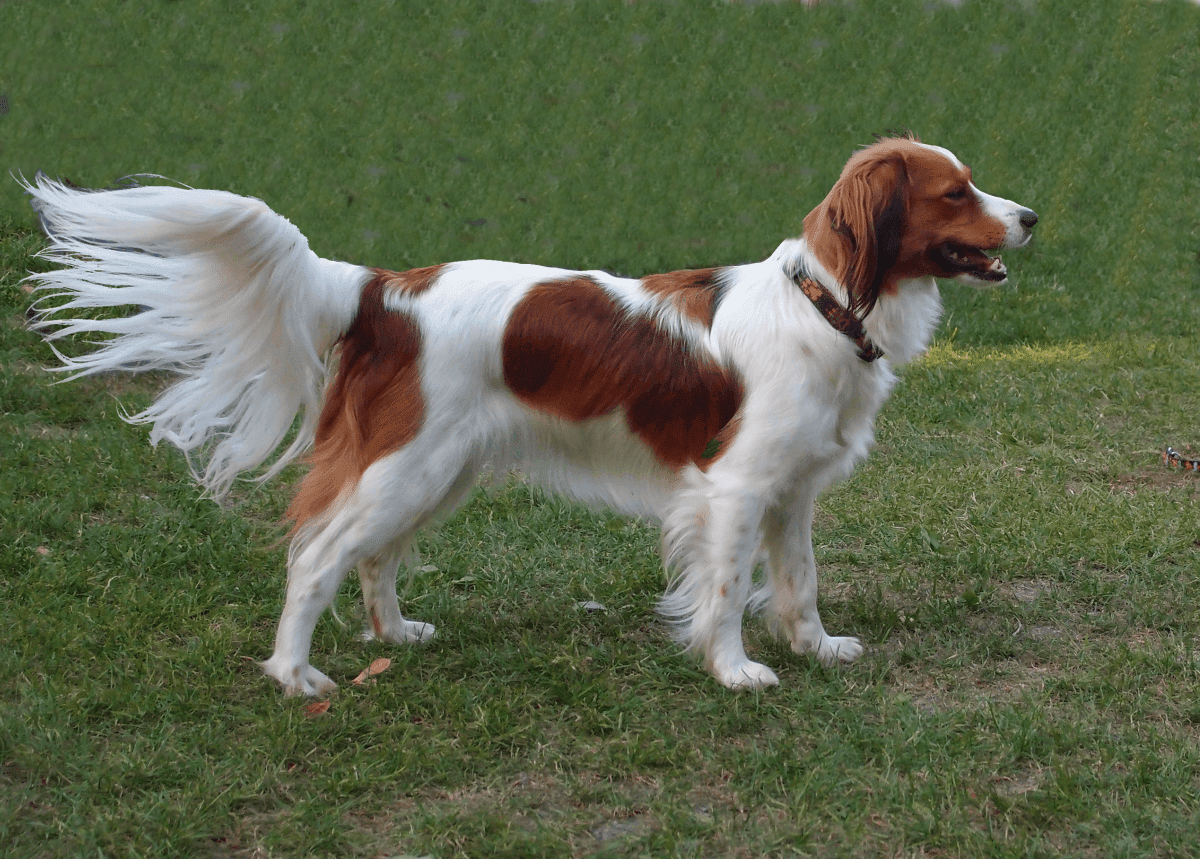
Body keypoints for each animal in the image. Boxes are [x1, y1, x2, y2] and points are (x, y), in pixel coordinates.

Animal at [23, 136, 1036, 695]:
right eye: (956, 192)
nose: (1030, 215)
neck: (825, 305)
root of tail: (385, 288)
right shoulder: (737, 488)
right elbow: (723, 590)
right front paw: (734, 670)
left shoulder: (793, 492)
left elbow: (801, 582)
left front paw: (818, 648)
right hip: (407, 467)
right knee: (316, 559)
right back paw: (295, 676)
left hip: (441, 471)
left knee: (374, 558)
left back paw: (395, 637)